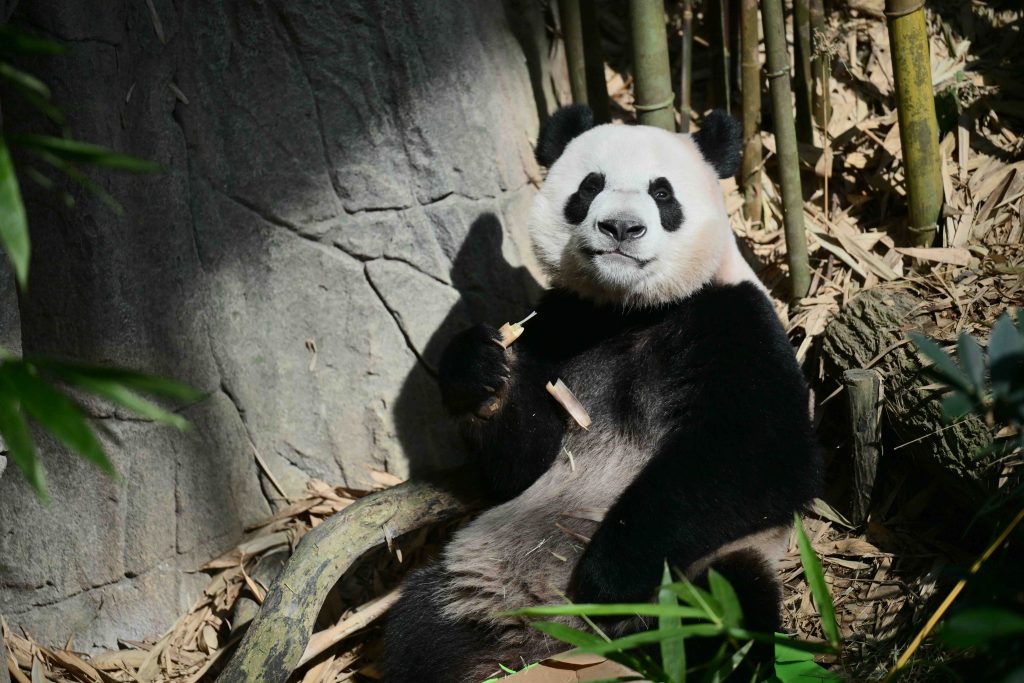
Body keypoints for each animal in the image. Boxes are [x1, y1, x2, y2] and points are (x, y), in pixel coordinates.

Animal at [381, 106, 821, 682]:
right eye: (590, 186)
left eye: (663, 193)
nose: (620, 228)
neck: (629, 307)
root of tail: (548, 644)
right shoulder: (563, 321)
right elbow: (519, 467)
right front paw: (481, 369)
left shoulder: (734, 320)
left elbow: (762, 455)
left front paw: (607, 578)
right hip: (471, 578)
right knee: (416, 633)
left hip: (715, 569)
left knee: (729, 613)